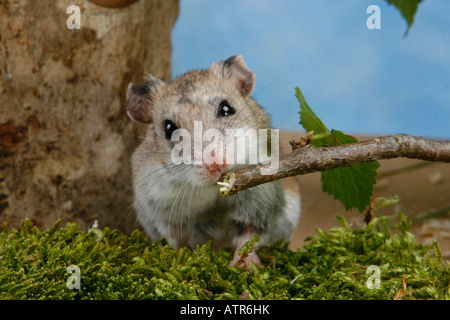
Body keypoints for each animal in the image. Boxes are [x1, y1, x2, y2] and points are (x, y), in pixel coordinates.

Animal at [126, 55, 300, 268]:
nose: (215, 164)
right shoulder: (162, 207)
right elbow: (177, 239)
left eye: (226, 108)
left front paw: (242, 266)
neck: (213, 189)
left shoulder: (261, 200)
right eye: (168, 128)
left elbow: (249, 236)